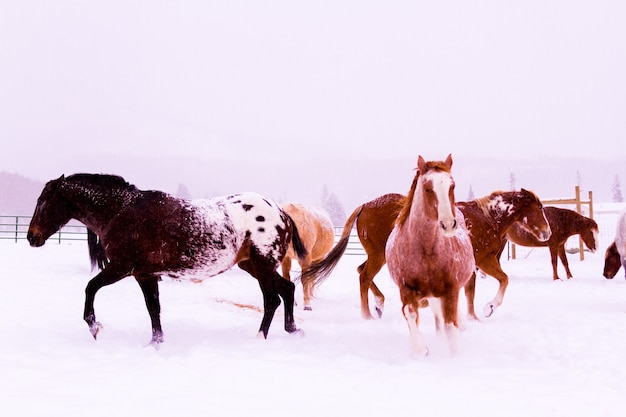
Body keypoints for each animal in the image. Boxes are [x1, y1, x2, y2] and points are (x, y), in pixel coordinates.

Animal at [29, 173, 308, 344]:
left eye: (42, 201)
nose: (32, 237)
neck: (121, 212)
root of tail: (280, 212)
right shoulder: (144, 275)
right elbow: (153, 309)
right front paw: (156, 342)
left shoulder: (121, 268)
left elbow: (90, 287)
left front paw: (94, 326)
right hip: (252, 265)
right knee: (287, 289)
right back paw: (293, 330)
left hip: (262, 265)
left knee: (272, 299)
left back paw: (261, 337)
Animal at [382, 154, 470, 356]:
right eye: (428, 188)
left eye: (452, 186)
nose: (448, 224)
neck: (427, 251)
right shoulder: (406, 290)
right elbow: (410, 313)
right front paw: (419, 348)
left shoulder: (451, 291)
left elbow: (450, 327)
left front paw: (455, 357)